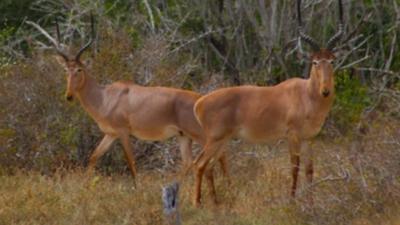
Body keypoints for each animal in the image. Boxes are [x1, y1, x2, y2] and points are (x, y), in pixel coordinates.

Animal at [27, 14, 228, 180]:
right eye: (65, 70)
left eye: (79, 69)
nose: (68, 96)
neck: (105, 96)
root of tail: (200, 100)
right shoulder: (110, 134)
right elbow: (93, 157)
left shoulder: (124, 133)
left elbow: (131, 161)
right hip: (183, 137)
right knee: (190, 162)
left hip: (200, 135)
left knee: (219, 155)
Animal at [191, 0, 344, 206]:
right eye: (315, 62)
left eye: (332, 61)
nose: (325, 91)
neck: (305, 94)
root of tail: (199, 103)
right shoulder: (292, 136)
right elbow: (294, 167)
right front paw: (292, 201)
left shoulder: (309, 138)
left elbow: (310, 170)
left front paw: (311, 204)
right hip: (215, 140)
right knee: (199, 164)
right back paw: (198, 204)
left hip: (222, 141)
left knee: (208, 166)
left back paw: (215, 203)